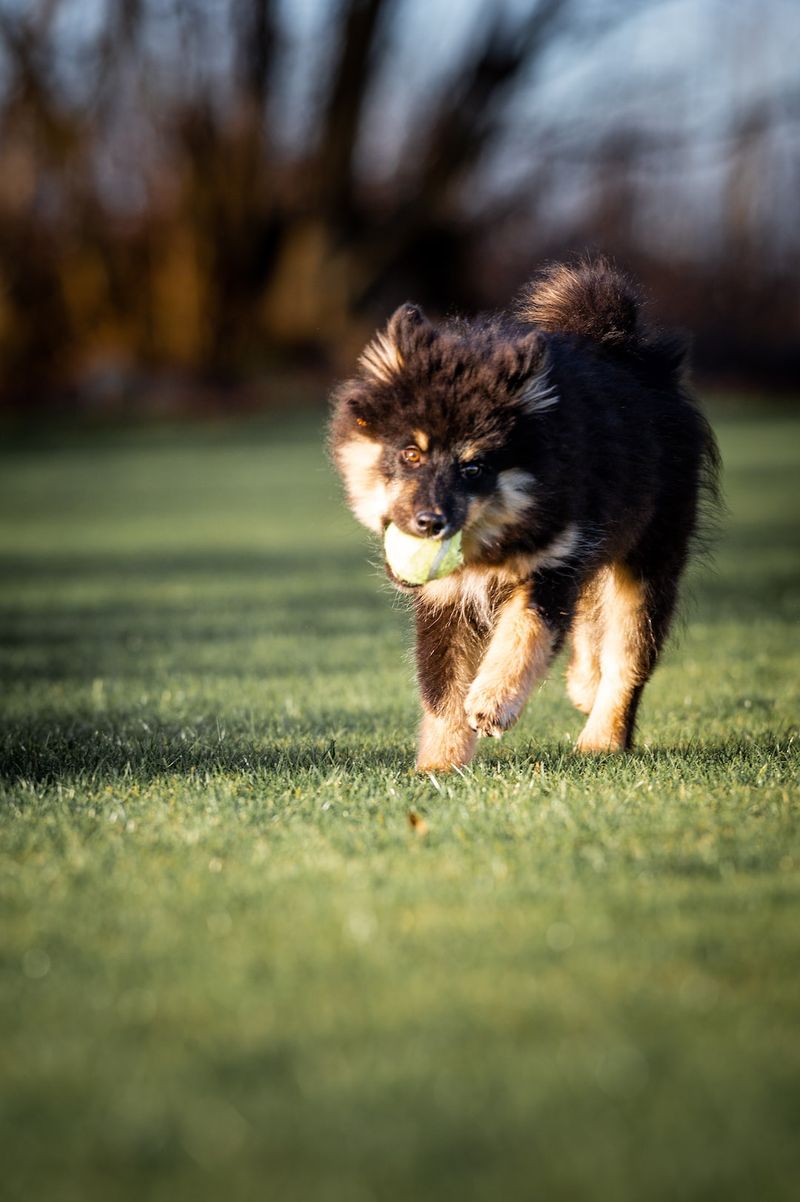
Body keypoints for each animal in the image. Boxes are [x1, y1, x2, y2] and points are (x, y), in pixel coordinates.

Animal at [326, 258, 720, 774]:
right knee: (592, 621)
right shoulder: (445, 599)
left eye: (473, 468)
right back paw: (584, 685)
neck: (491, 539)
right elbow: (441, 690)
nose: (430, 524)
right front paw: (439, 766)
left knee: (628, 658)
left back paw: (602, 738)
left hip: (647, 560)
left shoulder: (550, 566)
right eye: (411, 454)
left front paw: (492, 702)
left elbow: (524, 636)